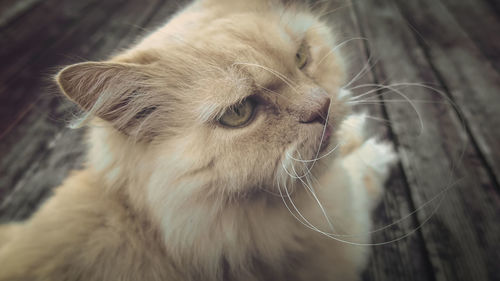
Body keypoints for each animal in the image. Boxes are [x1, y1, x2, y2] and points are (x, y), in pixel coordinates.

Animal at [0, 0, 398, 280]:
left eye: (302, 57)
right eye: (239, 113)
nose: (322, 107)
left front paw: (352, 130)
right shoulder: (343, 237)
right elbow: (359, 176)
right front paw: (375, 151)